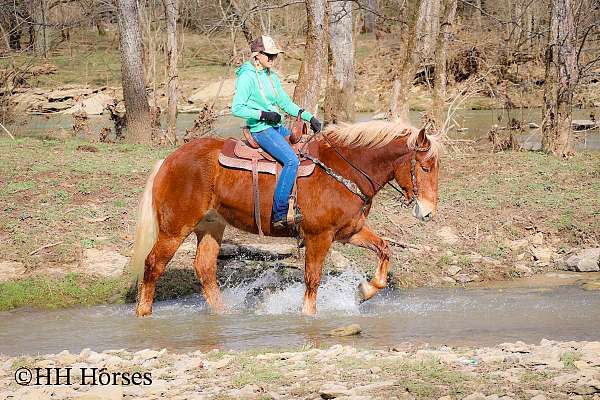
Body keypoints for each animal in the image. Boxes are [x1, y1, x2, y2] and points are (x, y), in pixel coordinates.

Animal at [131, 119, 440, 316]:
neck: (344, 170)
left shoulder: (349, 231)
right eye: (425, 168)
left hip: (210, 226)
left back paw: (223, 313)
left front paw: (364, 290)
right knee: (153, 264)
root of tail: (169, 160)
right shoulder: (318, 236)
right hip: (174, 229)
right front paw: (308, 314)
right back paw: (143, 313)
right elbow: (312, 278)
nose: (427, 212)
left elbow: (384, 250)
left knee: (205, 269)